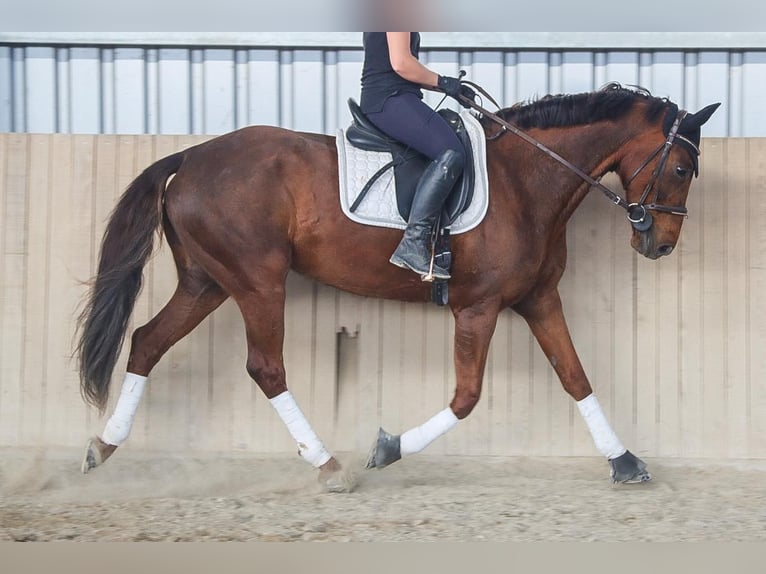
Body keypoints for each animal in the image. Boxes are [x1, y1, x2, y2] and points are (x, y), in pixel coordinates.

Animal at [76, 83, 719, 492]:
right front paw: (387, 449)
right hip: (257, 282)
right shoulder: (478, 307)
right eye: (681, 169)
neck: (525, 181)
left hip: (208, 281)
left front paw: (625, 462)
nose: (660, 245)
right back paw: (329, 467)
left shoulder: (539, 299)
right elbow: (467, 397)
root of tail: (188, 157)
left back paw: (101, 447)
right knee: (265, 367)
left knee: (147, 341)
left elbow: (576, 377)